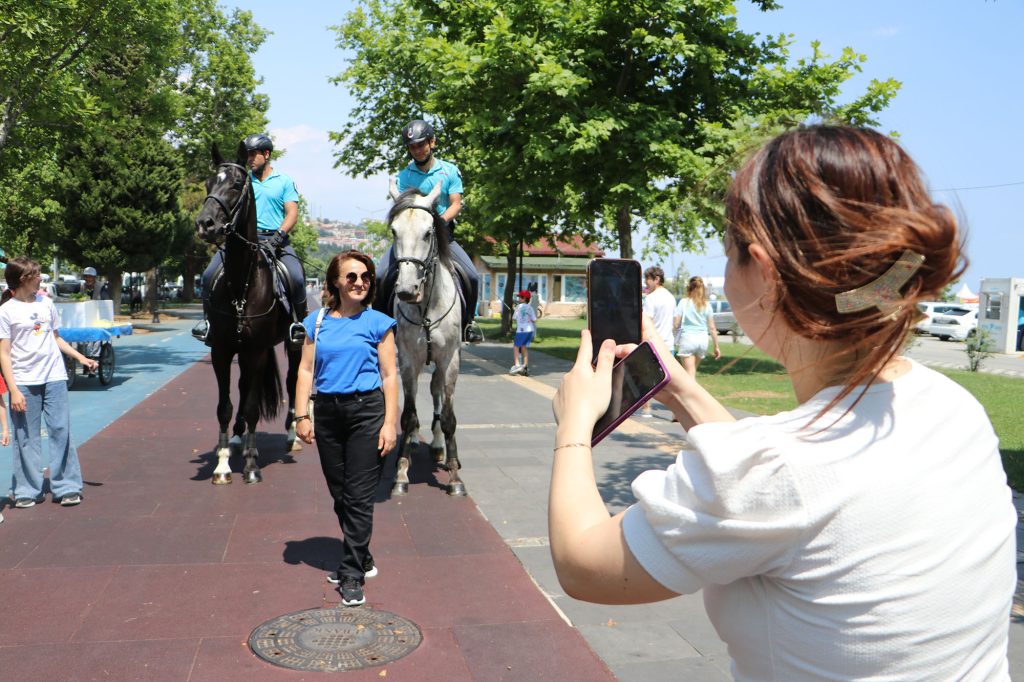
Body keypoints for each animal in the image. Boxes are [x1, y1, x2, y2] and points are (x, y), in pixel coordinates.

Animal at [192, 139, 301, 483]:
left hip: (291, 344)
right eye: (208, 184)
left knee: (292, 381)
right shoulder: (222, 350)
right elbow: (224, 406)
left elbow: (253, 405)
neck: (243, 282)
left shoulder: (257, 350)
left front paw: (252, 467)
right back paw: (239, 437)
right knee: (241, 389)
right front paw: (222, 463)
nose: (205, 224)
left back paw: (292, 435)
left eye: (237, 184)